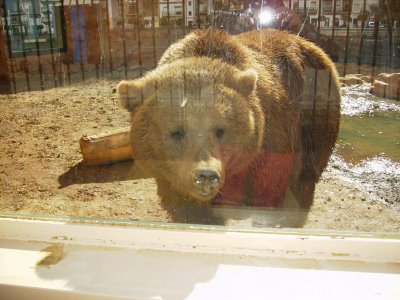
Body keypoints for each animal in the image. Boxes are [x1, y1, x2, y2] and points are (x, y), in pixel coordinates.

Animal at [116, 29, 340, 226]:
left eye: (220, 130)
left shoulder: (270, 145)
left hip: (314, 117)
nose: (206, 175)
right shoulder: (172, 180)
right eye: (177, 132)